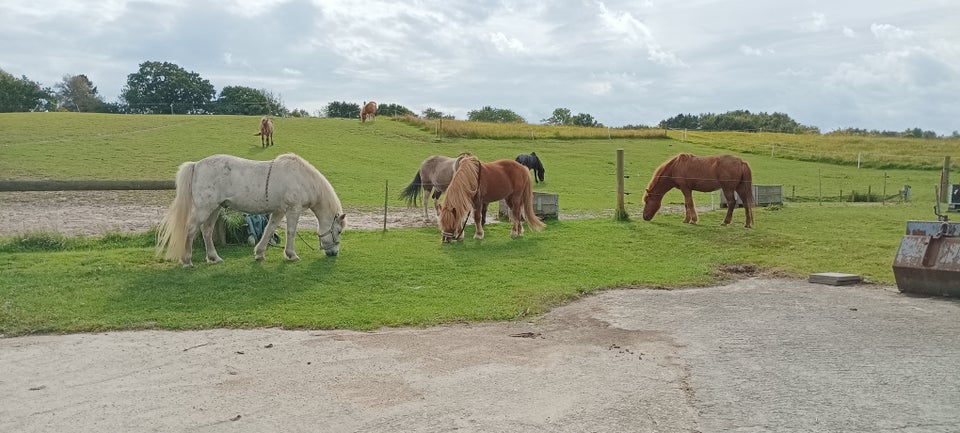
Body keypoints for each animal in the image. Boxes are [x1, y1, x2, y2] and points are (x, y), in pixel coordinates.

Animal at [158, 152, 348, 266]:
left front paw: (259, 253)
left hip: (215, 209)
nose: (334, 253)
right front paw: (291, 254)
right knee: (191, 229)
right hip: (204, 208)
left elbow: (269, 230)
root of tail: (196, 165)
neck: (302, 179)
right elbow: (291, 231)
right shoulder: (293, 209)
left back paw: (214, 258)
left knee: (206, 231)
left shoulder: (279, 211)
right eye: (338, 231)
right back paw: (187, 260)